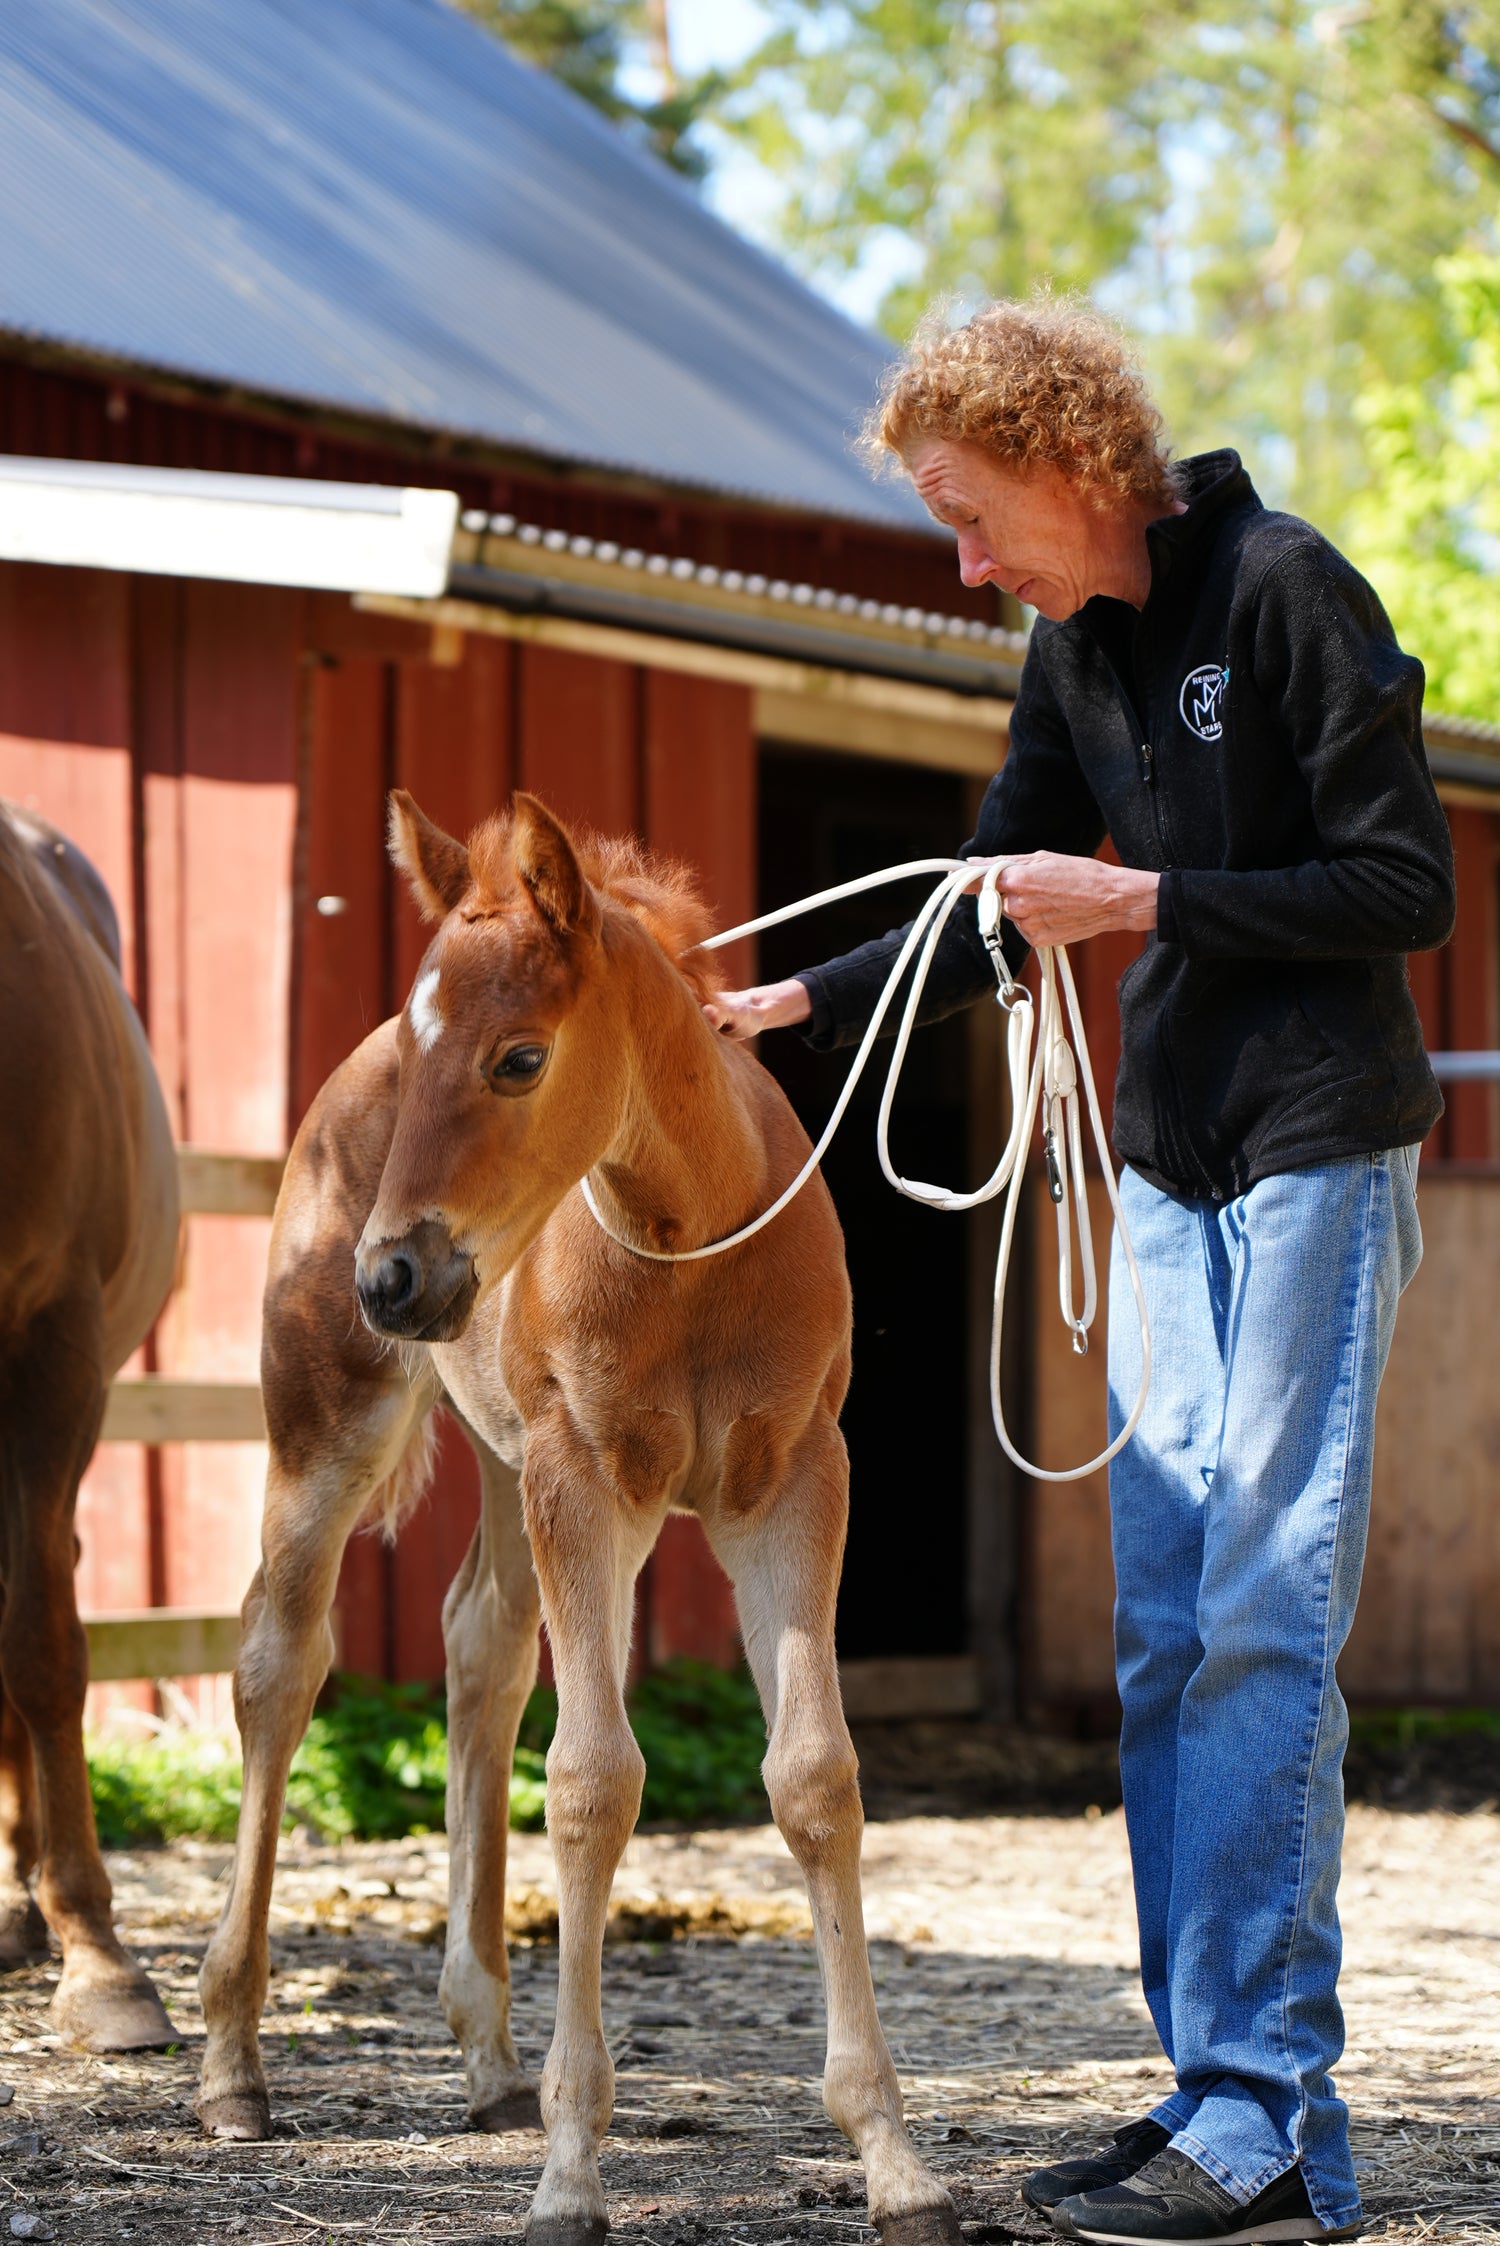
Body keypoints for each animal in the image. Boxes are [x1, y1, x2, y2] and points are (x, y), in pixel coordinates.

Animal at [197, 789, 961, 2246]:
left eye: (518, 1058)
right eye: (428, 1056)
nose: (394, 1274)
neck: (696, 1243)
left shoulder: (792, 1481)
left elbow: (814, 1775)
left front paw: (895, 2160)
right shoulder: (584, 1474)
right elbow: (595, 1781)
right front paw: (570, 2172)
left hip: (519, 1464)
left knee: (479, 1647)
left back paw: (489, 2055)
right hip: (335, 1420)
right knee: (278, 1657)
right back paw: (232, 2062)